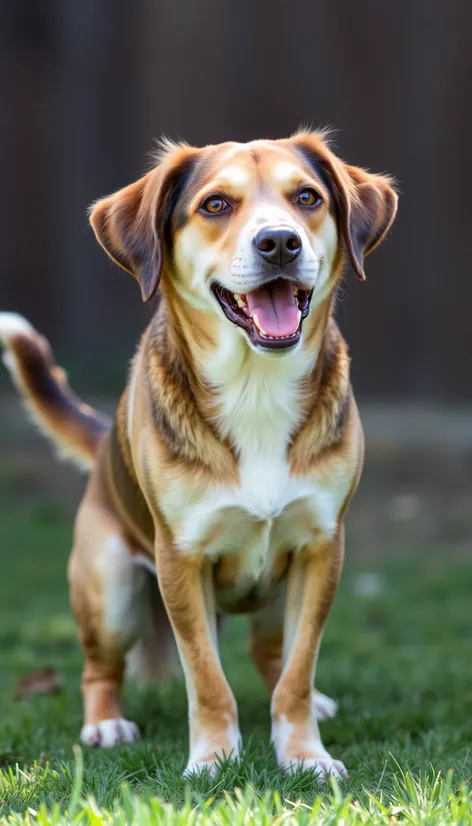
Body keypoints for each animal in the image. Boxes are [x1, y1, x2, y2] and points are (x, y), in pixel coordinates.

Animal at [0, 132, 396, 776]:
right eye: (215, 205)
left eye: (307, 197)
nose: (279, 242)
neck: (256, 385)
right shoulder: (180, 559)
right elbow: (207, 677)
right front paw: (214, 758)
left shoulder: (321, 549)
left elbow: (297, 669)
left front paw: (304, 753)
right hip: (108, 585)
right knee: (99, 668)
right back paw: (105, 724)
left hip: (276, 593)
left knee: (273, 656)